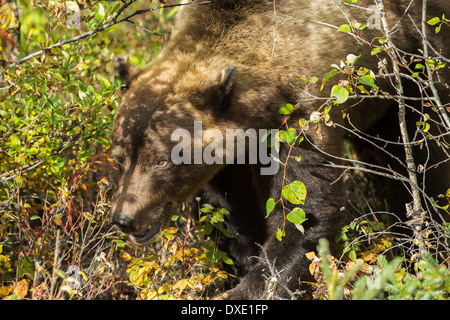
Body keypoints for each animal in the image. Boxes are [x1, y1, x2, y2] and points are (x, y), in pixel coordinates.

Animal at [110, 0, 450, 300]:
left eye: (161, 161)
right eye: (120, 158)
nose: (124, 218)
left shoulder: (298, 117)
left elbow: (305, 208)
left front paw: (251, 287)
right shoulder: (224, 160)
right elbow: (230, 211)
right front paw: (242, 262)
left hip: (412, 67)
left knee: (421, 159)